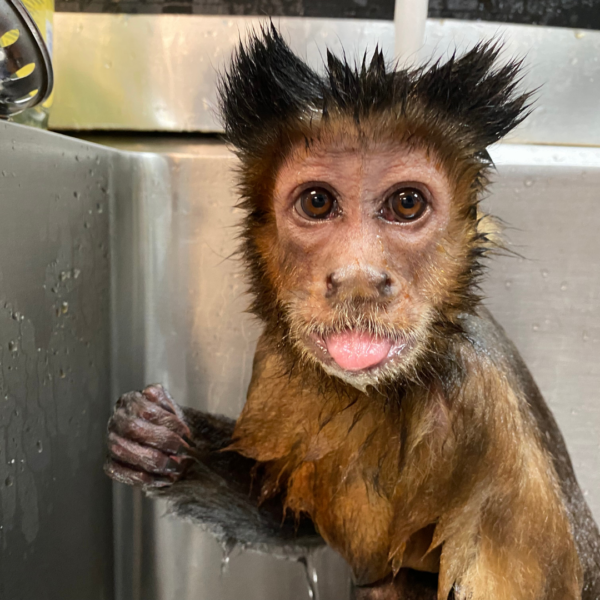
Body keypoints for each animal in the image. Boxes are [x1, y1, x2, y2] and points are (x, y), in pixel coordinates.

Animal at [104, 25, 600, 600]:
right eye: (317, 202)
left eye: (407, 203)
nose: (359, 279)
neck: (392, 388)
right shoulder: (275, 360)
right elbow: (297, 518)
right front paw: (157, 440)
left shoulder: (480, 415)